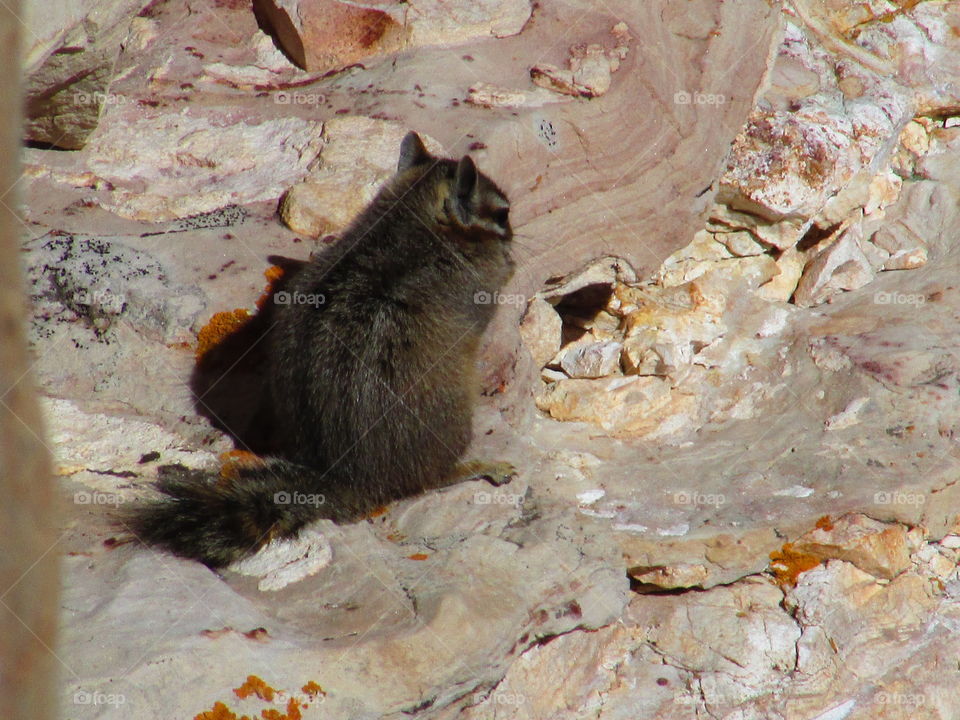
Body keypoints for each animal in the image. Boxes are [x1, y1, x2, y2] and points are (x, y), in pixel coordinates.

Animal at [126, 132, 517, 568]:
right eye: (503, 212)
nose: (513, 233)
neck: (406, 215)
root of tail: (351, 480)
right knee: (428, 481)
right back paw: (476, 467)